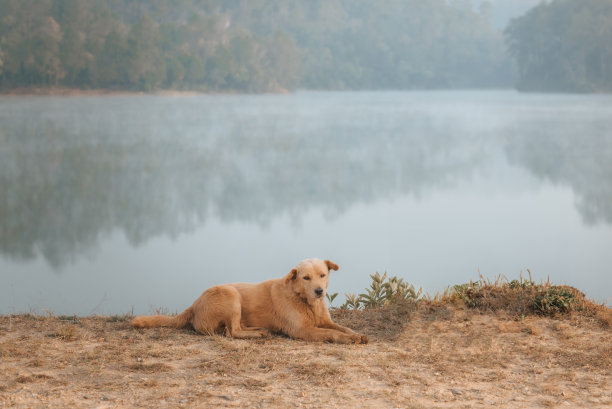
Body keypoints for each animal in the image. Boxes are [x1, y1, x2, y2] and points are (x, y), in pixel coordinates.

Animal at [133, 256, 368, 342]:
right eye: (306, 277)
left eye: (323, 275)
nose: (319, 291)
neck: (304, 300)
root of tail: (193, 305)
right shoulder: (302, 330)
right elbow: (331, 333)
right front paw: (348, 339)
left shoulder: (324, 320)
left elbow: (342, 328)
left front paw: (355, 334)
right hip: (231, 294)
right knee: (232, 332)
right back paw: (257, 334)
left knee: (235, 328)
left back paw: (259, 329)